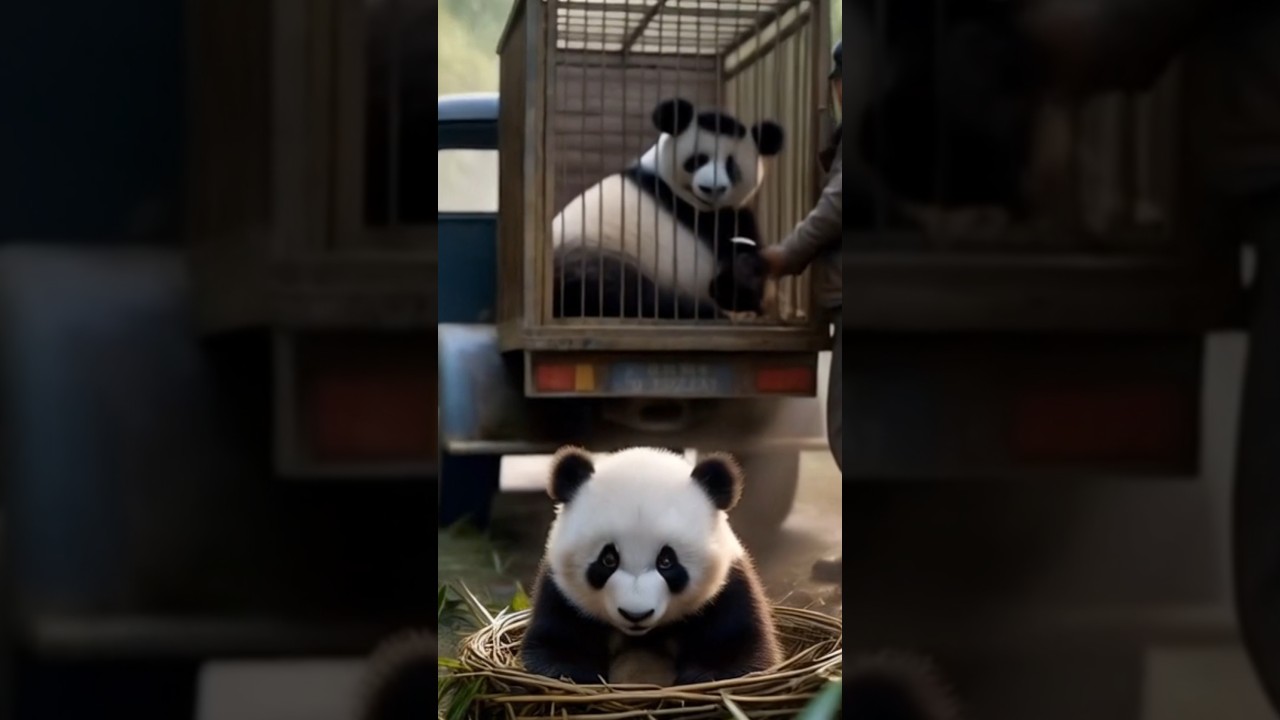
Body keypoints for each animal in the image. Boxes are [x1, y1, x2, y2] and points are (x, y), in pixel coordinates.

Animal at [519, 446, 781, 686]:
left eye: (666, 561)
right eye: (608, 559)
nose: (636, 614)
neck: (643, 635)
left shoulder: (727, 590)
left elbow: (738, 648)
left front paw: (702, 675)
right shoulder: (561, 595)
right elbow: (556, 645)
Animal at [550, 98, 785, 320]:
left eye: (731, 166)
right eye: (698, 160)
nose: (712, 188)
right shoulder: (710, 221)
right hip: (605, 254)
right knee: (624, 292)